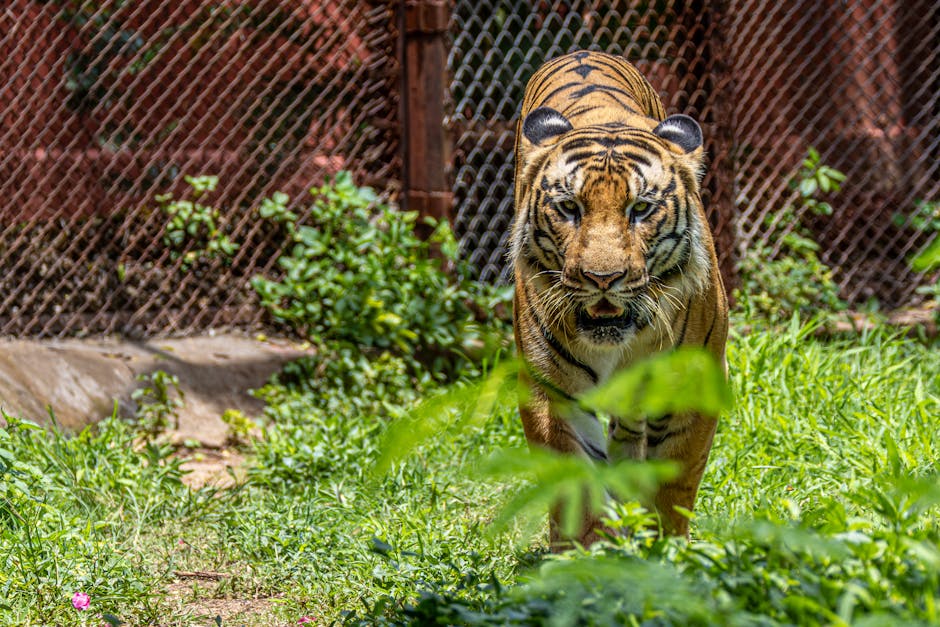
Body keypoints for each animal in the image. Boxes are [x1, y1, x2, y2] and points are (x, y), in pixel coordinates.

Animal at [510, 50, 728, 547]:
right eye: (569, 208)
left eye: (641, 209)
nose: (602, 277)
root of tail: (584, 51)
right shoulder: (552, 391)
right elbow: (575, 483)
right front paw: (585, 553)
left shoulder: (695, 378)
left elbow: (674, 480)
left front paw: (669, 548)